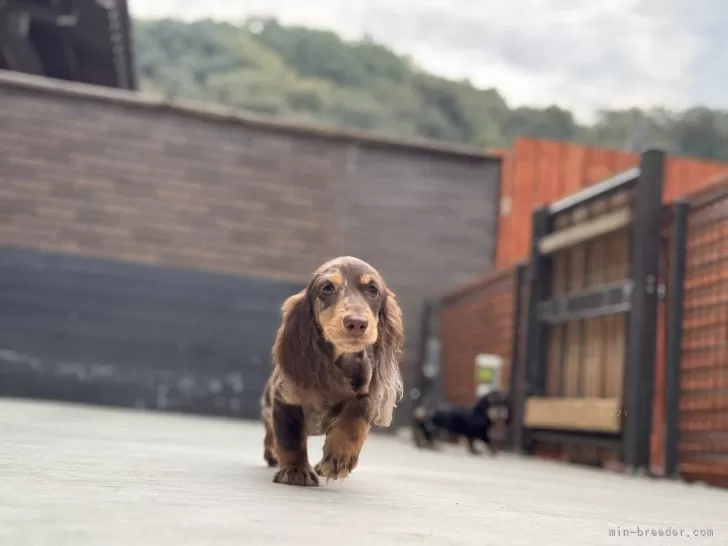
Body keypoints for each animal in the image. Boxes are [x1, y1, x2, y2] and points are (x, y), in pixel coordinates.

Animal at [258, 255, 404, 484]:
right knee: (270, 433)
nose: (356, 323)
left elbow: (356, 415)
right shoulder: (285, 400)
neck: (338, 358)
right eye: (327, 288)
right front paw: (295, 470)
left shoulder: (366, 394)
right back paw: (271, 454)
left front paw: (339, 457)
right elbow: (290, 438)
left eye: (373, 290)